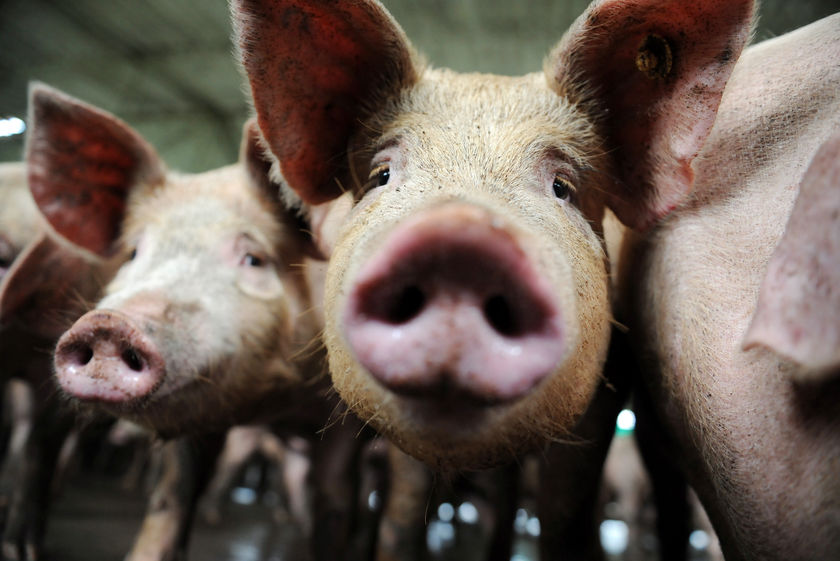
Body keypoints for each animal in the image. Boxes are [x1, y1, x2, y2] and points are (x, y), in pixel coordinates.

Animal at [27, 84, 366, 561]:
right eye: (133, 253)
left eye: (253, 258)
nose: (110, 323)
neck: (280, 402)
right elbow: (171, 500)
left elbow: (335, 506)